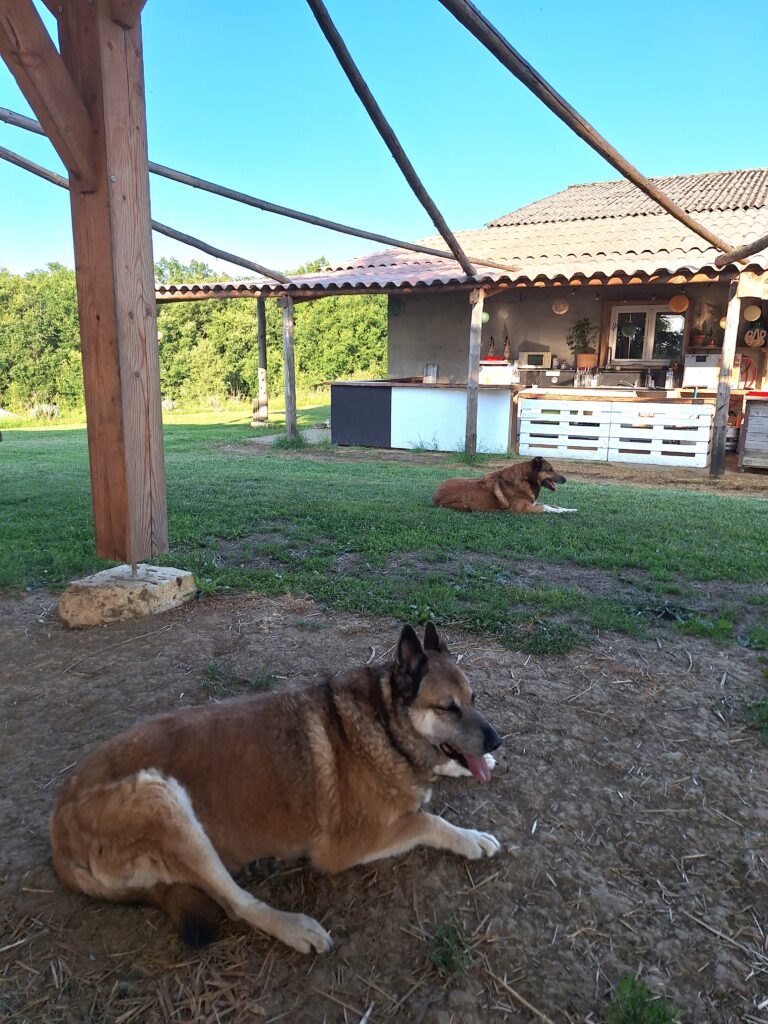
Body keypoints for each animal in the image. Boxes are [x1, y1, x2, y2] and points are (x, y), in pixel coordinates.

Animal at [51, 622, 501, 950]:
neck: (386, 725)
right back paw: (295, 927)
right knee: (235, 903)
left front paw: (466, 767)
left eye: (475, 698)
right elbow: (428, 821)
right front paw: (471, 838)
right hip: (159, 799)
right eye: (448, 708)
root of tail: (58, 821)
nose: (497, 740)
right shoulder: (346, 846)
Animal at [434, 458, 577, 516]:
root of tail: (436, 494)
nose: (565, 479)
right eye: (550, 469)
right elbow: (547, 507)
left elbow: (554, 505)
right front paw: (561, 512)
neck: (526, 478)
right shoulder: (523, 509)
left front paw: (570, 510)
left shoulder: (533, 503)